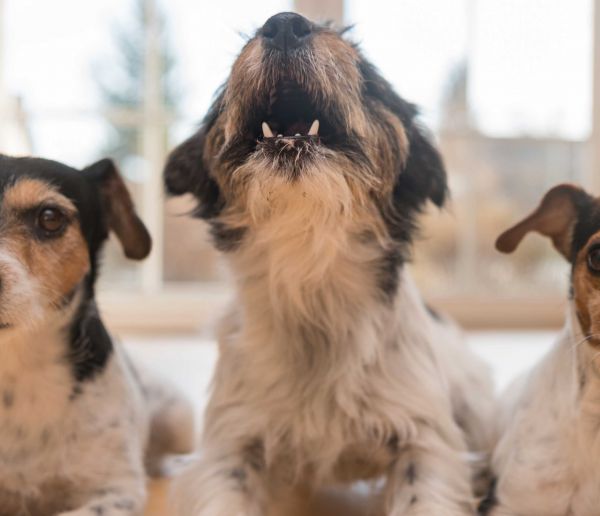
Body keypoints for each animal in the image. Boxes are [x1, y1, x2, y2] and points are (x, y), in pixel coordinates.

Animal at [166, 12, 494, 516]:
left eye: (367, 74)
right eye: (228, 80)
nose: (283, 23)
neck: (311, 280)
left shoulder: (427, 443)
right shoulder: (228, 447)